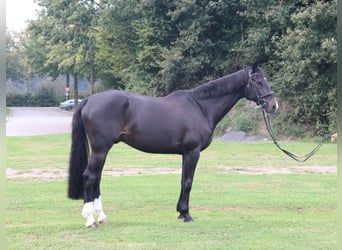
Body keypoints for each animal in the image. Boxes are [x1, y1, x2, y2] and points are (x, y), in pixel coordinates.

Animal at [67, 64, 278, 227]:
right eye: (258, 81)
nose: (274, 105)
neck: (200, 107)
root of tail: (89, 100)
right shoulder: (193, 152)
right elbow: (188, 182)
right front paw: (187, 214)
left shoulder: (186, 153)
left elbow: (183, 180)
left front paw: (180, 212)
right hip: (100, 149)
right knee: (90, 177)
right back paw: (90, 220)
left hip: (102, 150)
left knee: (97, 178)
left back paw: (101, 216)